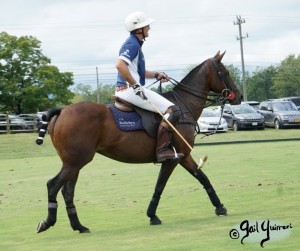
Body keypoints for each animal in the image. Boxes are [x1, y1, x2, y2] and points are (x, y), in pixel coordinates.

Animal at [35, 51, 241, 233]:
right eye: (226, 73)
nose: (238, 96)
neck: (184, 106)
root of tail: (62, 110)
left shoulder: (184, 155)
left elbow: (203, 178)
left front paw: (220, 207)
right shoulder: (175, 157)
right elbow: (160, 185)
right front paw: (152, 215)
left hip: (74, 161)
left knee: (67, 191)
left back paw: (79, 226)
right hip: (76, 160)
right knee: (53, 185)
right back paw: (47, 222)